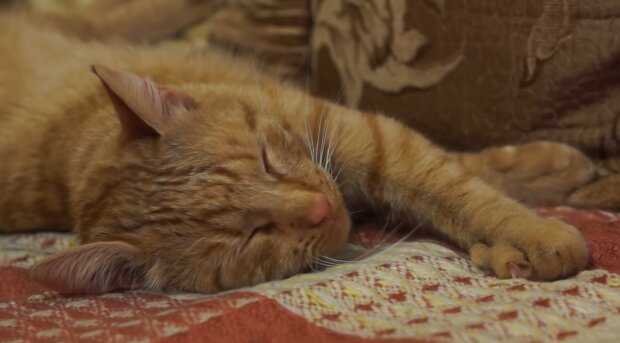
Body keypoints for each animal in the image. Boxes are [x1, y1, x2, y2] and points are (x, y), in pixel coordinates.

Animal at [0, 14, 592, 296]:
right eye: (250, 238)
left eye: (265, 159)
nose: (322, 210)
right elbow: (454, 173)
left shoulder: (356, 133)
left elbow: (451, 181)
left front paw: (532, 218)